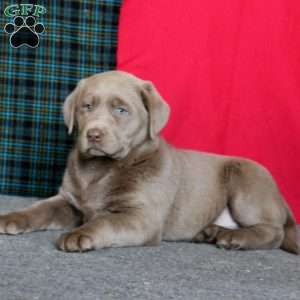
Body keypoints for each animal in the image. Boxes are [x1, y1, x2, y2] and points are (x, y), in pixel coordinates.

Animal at [0, 71, 298, 253]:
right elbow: (39, 209)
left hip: (247, 178)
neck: (101, 169)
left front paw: (79, 235)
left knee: (273, 232)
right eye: (87, 107)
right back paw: (211, 232)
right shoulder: (69, 200)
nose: (94, 134)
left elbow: (104, 221)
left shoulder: (141, 216)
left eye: (122, 110)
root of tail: (280, 198)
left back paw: (233, 238)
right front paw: (11, 218)